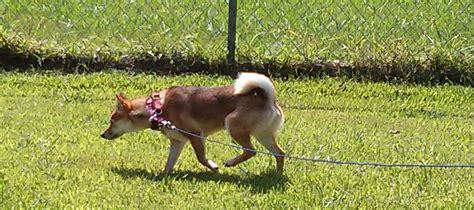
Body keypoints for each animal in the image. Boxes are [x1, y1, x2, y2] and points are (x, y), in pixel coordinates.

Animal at [100, 73, 286, 173]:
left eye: (112, 121)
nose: (102, 134)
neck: (156, 109)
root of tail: (267, 98)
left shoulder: (196, 135)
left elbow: (201, 158)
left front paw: (213, 167)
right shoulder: (177, 141)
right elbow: (170, 162)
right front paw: (164, 175)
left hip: (233, 124)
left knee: (250, 150)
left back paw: (230, 162)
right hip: (262, 134)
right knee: (279, 153)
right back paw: (276, 174)